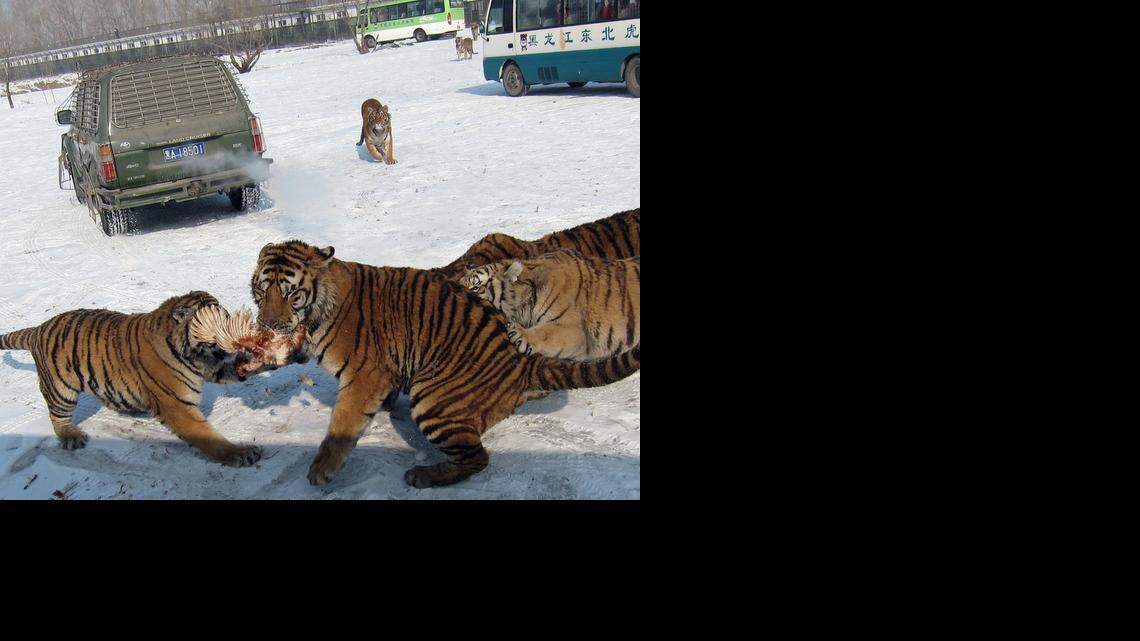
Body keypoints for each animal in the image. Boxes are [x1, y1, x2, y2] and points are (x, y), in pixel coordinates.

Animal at [0, 292, 263, 466]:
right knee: (58, 417)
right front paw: (240, 454)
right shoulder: (176, 405)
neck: (196, 356)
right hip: (60, 389)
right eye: (217, 322)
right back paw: (71, 437)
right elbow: (207, 435)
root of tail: (39, 327)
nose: (235, 338)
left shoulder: (212, 366)